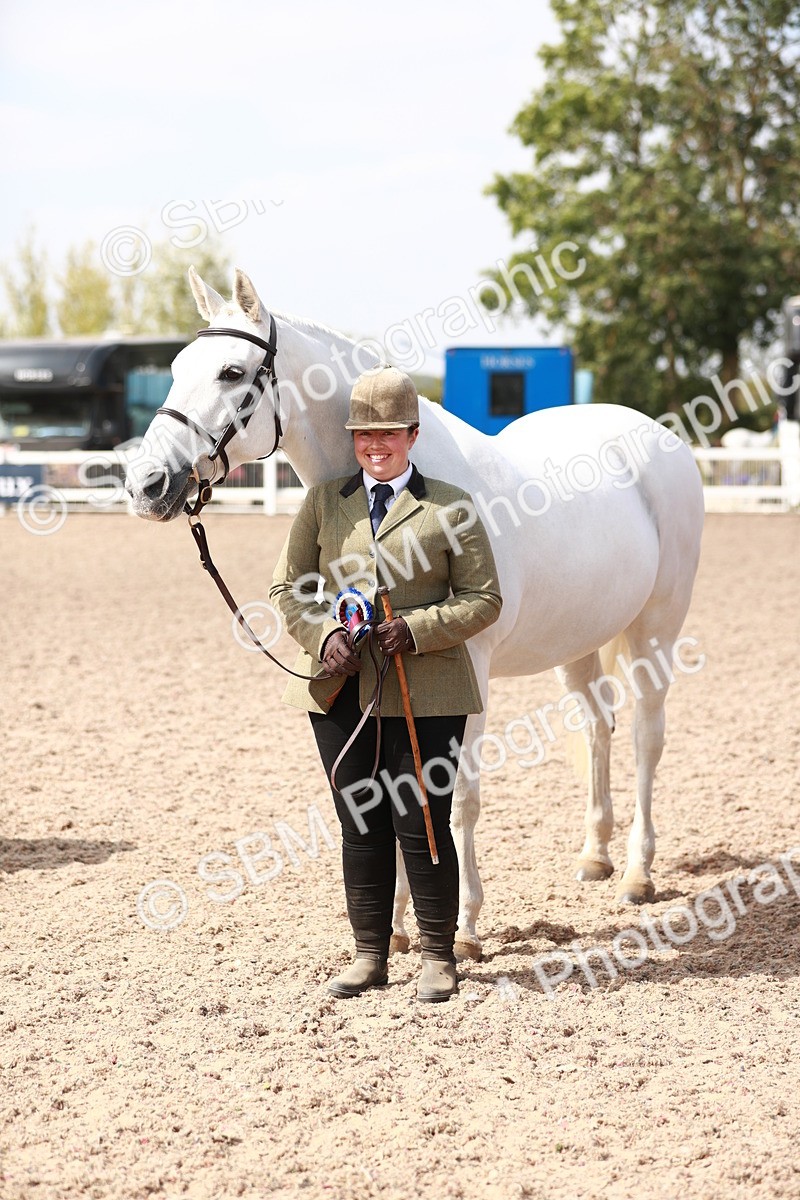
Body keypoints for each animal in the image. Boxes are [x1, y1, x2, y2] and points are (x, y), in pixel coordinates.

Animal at [125, 267, 704, 961]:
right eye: (176, 368)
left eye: (231, 372)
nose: (146, 485)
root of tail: (659, 437)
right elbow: (393, 787)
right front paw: (400, 925)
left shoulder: (467, 671)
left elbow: (459, 799)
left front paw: (467, 926)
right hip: (579, 642)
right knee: (597, 728)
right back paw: (595, 857)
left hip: (655, 629)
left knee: (647, 735)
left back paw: (639, 873)